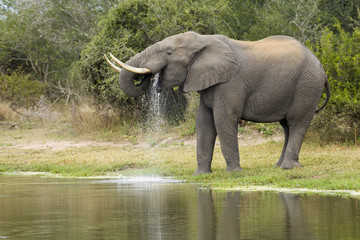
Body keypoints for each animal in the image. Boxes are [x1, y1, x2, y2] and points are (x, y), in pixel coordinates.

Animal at [103, 31, 330, 174]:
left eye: (168, 53)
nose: (148, 79)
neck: (204, 41)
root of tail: (321, 66)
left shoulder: (230, 83)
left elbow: (223, 120)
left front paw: (233, 173)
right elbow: (203, 123)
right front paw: (201, 175)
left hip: (307, 86)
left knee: (297, 122)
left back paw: (288, 168)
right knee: (286, 126)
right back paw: (278, 166)